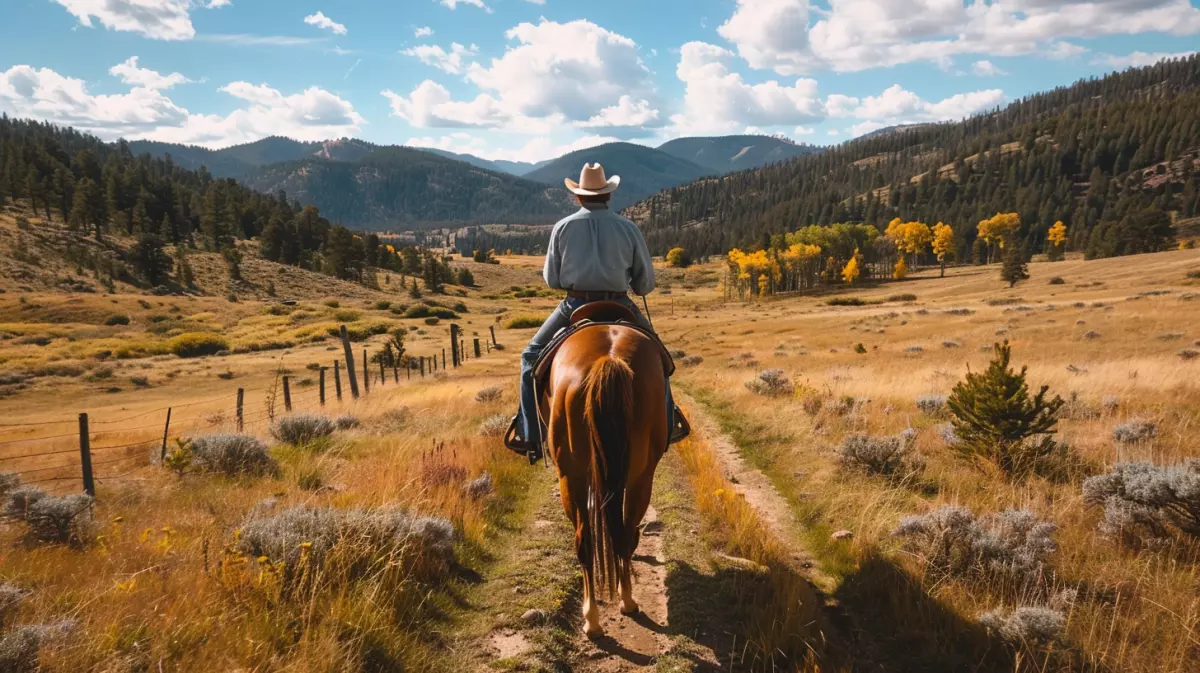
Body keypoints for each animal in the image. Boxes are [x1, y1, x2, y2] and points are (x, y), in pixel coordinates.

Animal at [540, 319, 672, 633]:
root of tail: (609, 360)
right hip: (639, 476)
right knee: (620, 532)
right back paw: (619, 604)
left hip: (572, 476)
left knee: (589, 539)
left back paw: (595, 617)